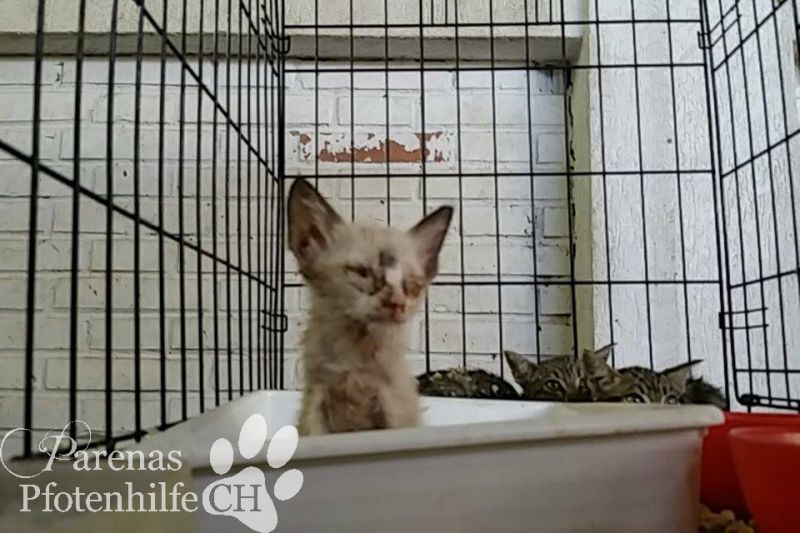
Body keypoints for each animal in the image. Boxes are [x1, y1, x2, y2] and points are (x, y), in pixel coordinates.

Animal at [287, 178, 453, 435]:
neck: (356, 354)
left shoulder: (392, 406)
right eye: (362, 273)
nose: (397, 303)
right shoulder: (315, 403)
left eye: (411, 286)